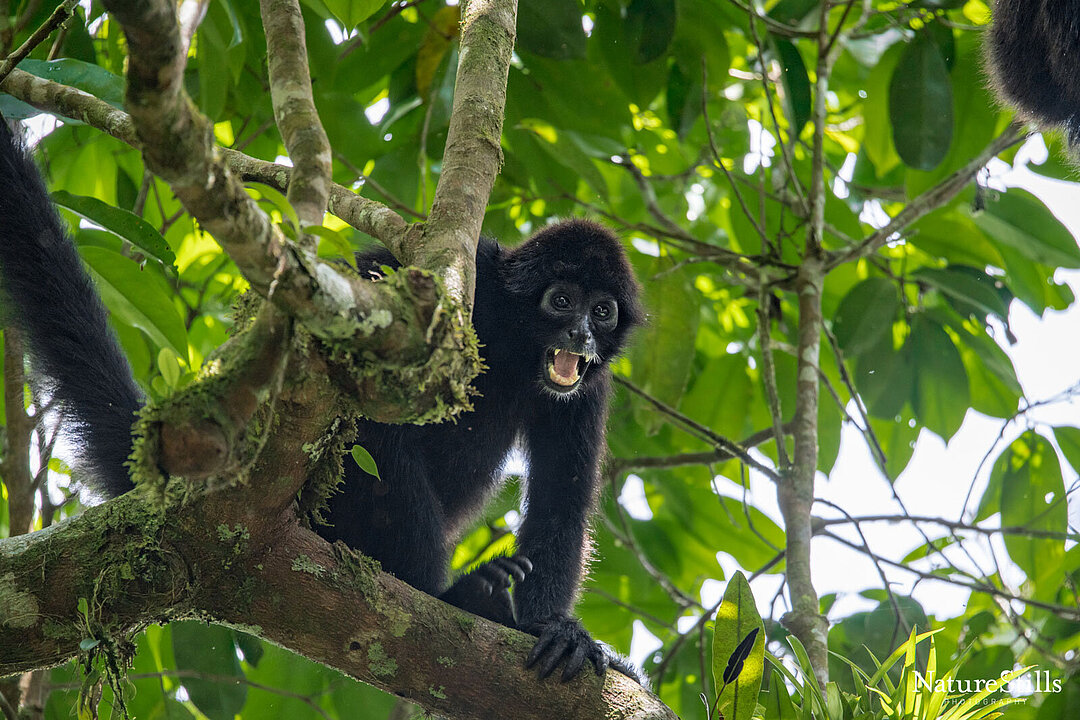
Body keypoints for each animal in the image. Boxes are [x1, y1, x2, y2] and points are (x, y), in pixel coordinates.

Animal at [0, 120, 639, 686]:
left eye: (602, 312)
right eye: (561, 301)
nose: (581, 335)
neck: (509, 342)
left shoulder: (585, 392)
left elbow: (562, 497)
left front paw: (553, 628)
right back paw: (456, 592)